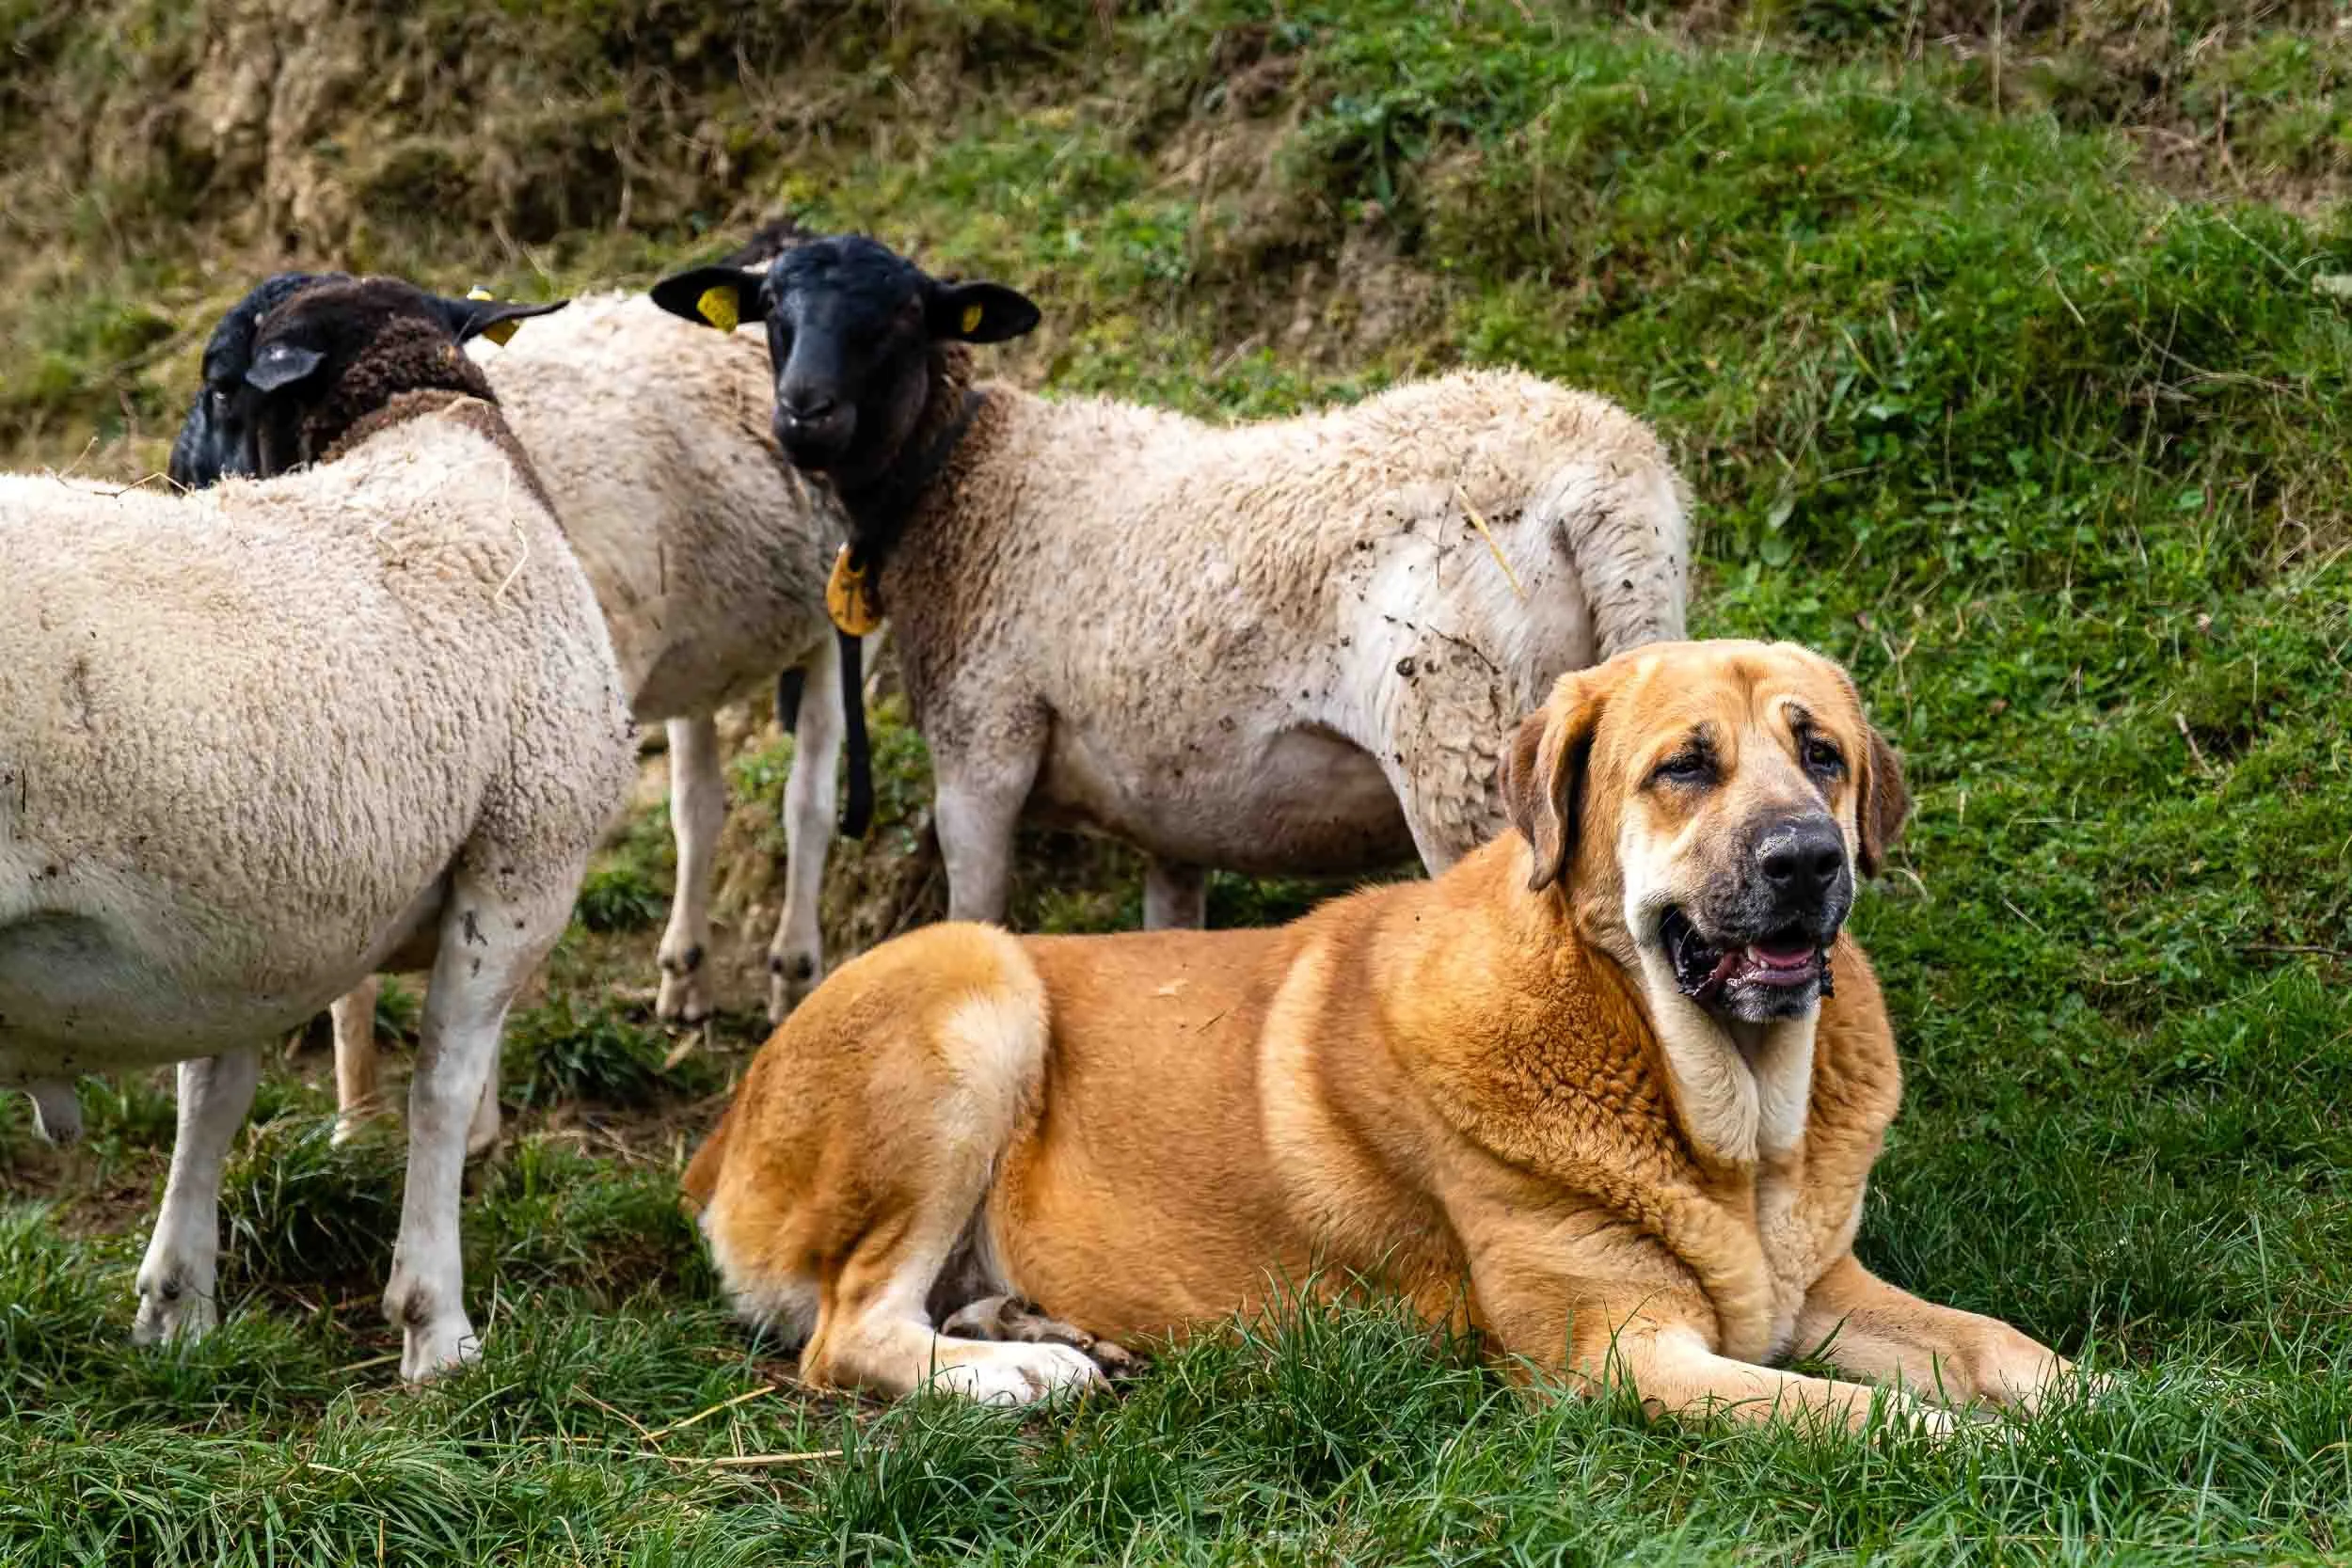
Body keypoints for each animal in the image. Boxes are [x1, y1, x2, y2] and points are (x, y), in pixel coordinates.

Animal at [0, 276, 638, 1381]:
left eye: (219, 383)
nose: (179, 477)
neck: (419, 429)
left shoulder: (252, 928)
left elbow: (210, 1094)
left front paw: (177, 1305)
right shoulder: (522, 869)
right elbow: (441, 1090)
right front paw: (437, 1326)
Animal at [649, 235, 1688, 925]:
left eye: (903, 315)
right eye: (773, 312)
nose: (803, 414)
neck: (966, 480)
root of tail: (1603, 482)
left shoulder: (983, 746)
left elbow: (975, 925)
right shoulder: (1174, 818)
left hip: (1462, 753)